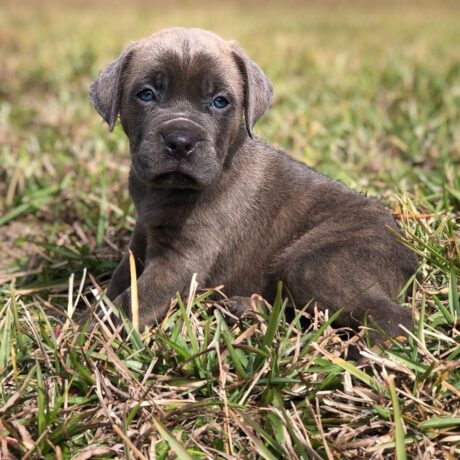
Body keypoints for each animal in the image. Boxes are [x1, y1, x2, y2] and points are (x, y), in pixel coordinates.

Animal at [89, 25, 416, 342]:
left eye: (220, 102)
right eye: (146, 95)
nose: (180, 141)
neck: (165, 191)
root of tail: (409, 256)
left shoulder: (180, 260)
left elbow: (128, 304)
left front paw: (83, 335)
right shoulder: (142, 236)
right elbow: (118, 283)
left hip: (317, 263)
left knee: (392, 317)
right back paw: (247, 310)